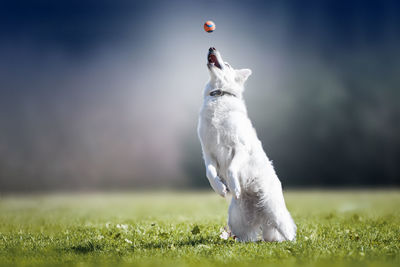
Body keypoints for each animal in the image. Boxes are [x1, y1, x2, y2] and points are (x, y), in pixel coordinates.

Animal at [198, 47, 296, 243]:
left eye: (227, 64)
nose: (212, 47)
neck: (219, 95)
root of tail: (261, 213)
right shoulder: (208, 154)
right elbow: (210, 174)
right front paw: (220, 188)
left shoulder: (239, 148)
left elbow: (231, 168)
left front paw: (234, 187)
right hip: (236, 220)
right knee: (246, 237)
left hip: (275, 211)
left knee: (288, 229)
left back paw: (295, 242)